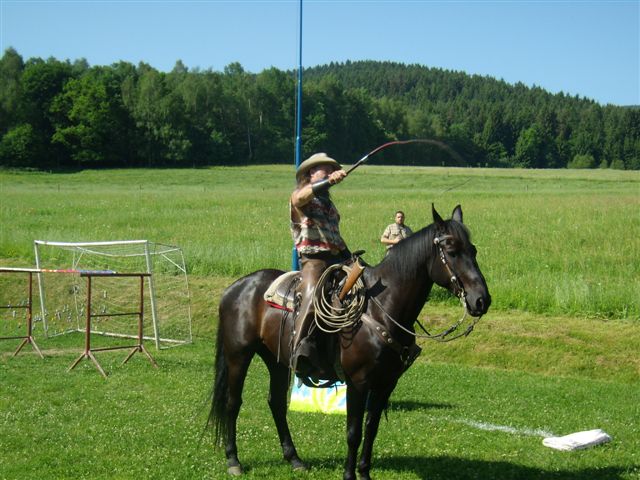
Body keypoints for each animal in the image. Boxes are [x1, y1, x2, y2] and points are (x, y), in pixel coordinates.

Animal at [209, 204, 491, 480]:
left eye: (474, 250)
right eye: (452, 251)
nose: (481, 300)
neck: (381, 308)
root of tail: (236, 287)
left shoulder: (386, 383)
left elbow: (371, 428)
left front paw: (364, 473)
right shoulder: (358, 381)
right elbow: (354, 432)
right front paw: (349, 474)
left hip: (276, 360)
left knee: (276, 403)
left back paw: (294, 459)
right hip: (238, 355)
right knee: (233, 403)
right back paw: (233, 460)